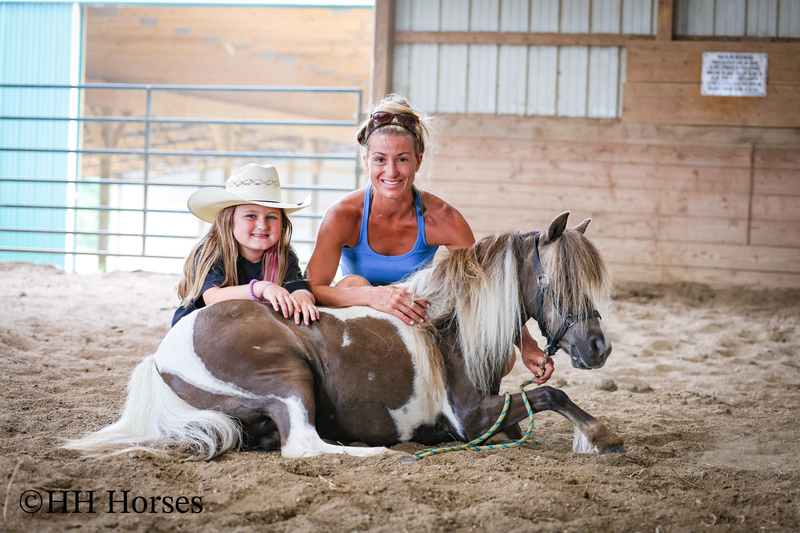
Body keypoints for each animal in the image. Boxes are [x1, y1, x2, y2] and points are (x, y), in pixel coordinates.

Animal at [65, 211, 624, 460]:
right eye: (561, 282)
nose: (599, 347)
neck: (449, 330)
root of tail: (161, 359)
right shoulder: (470, 420)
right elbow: (551, 394)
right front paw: (601, 435)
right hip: (289, 379)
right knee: (304, 444)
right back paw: (374, 451)